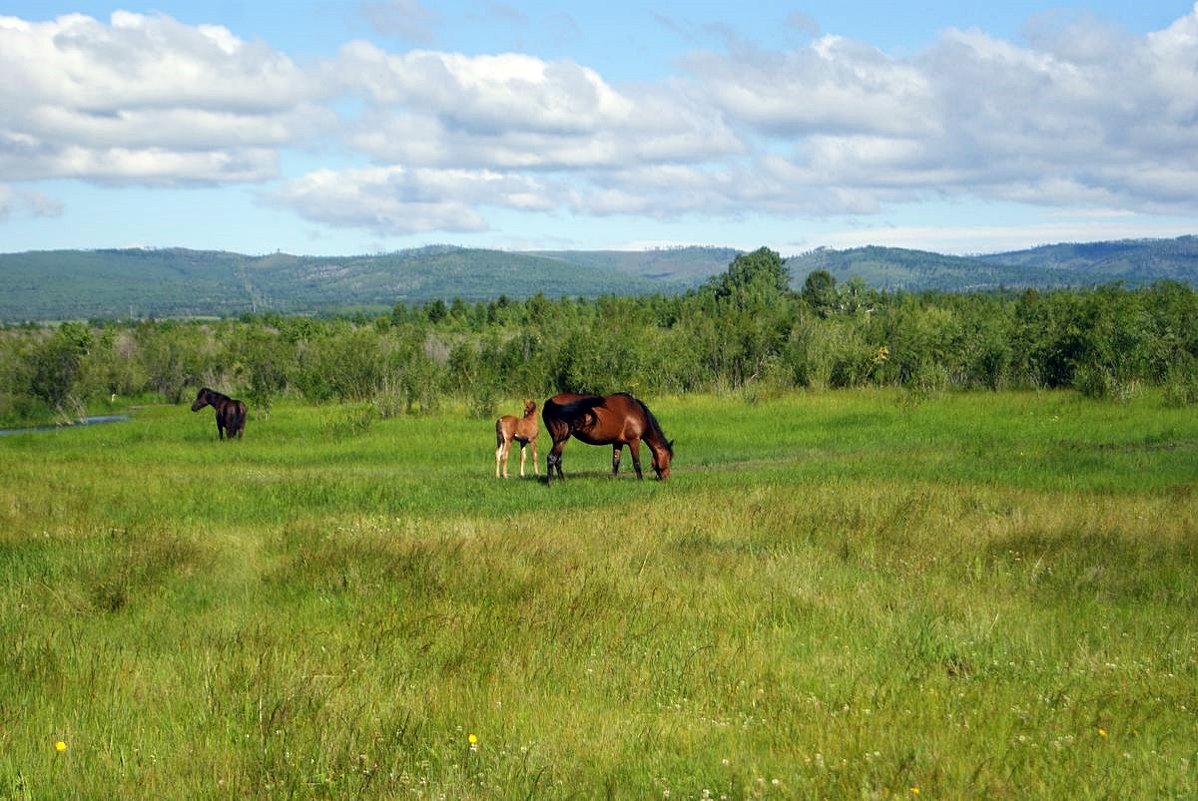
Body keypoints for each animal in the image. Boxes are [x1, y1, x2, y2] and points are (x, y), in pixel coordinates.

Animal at [543, 392, 675, 483]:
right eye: (668, 458)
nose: (666, 478)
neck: (637, 412)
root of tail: (550, 402)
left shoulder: (618, 443)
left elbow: (615, 462)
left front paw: (613, 480)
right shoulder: (634, 442)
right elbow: (637, 462)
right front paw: (641, 480)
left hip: (559, 440)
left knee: (558, 460)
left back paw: (562, 481)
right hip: (561, 439)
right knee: (551, 458)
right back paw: (550, 483)